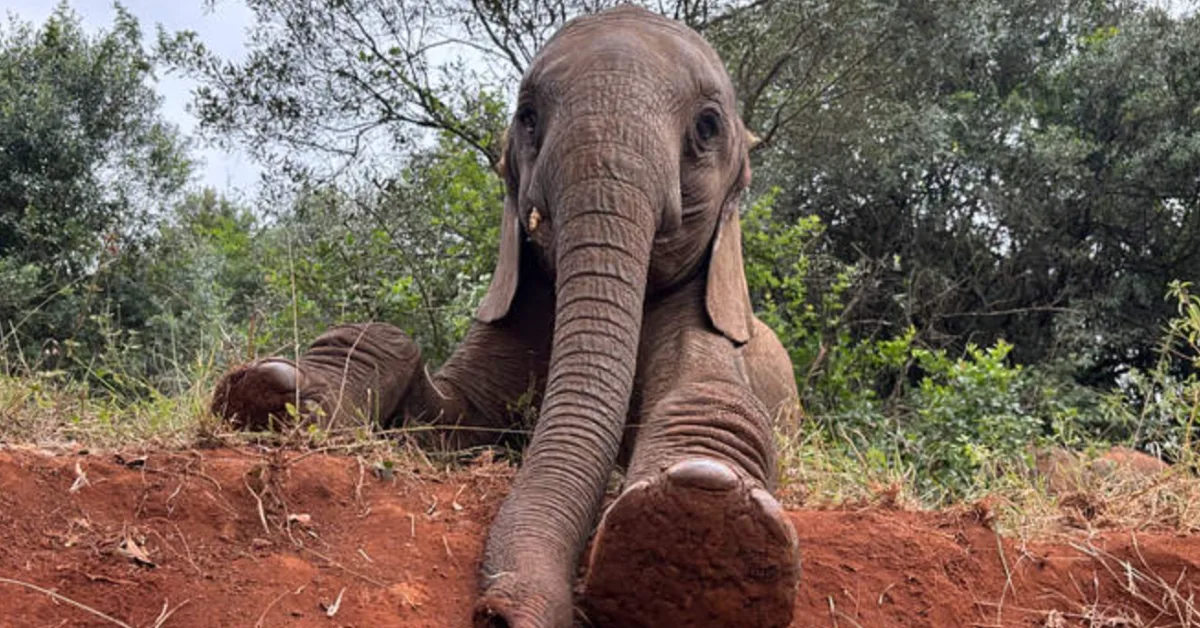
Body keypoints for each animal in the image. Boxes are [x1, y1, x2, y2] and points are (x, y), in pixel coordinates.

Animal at [210, 6, 804, 627]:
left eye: (707, 127)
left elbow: (717, 395)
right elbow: (446, 413)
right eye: (528, 118)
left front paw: (701, 513)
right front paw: (274, 389)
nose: (498, 612)